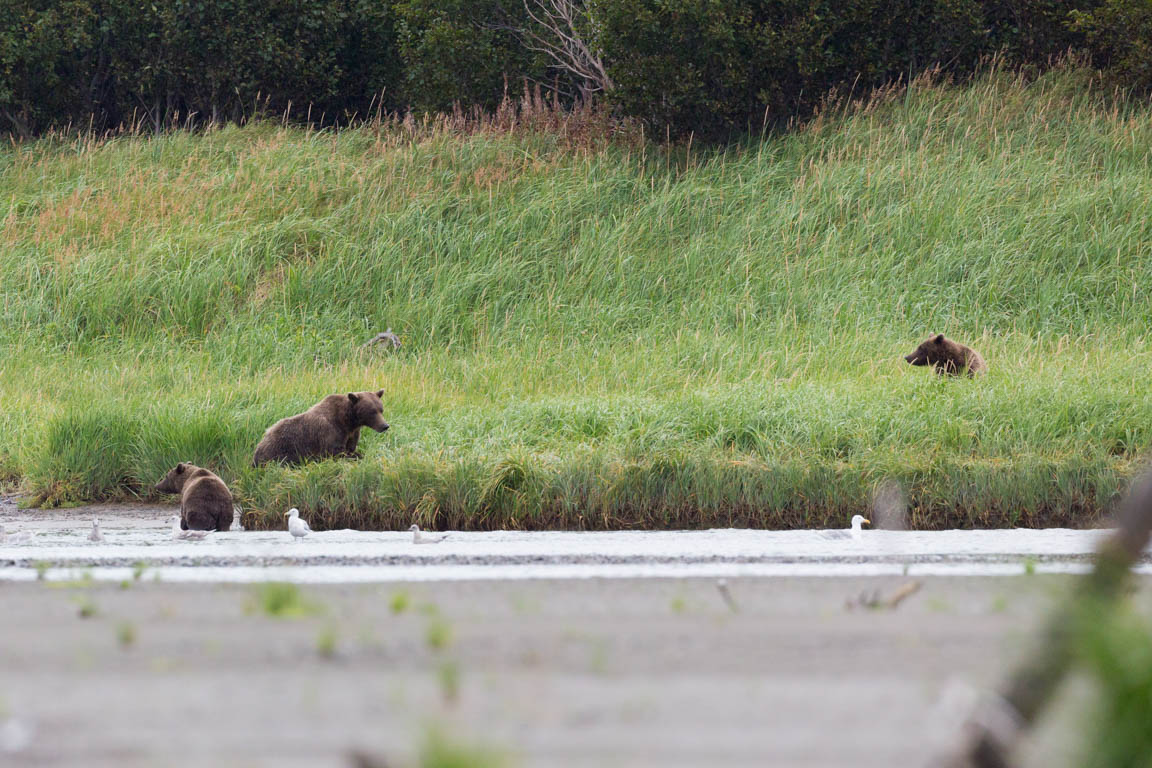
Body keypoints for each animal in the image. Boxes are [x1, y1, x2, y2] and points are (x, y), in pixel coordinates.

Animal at [253, 386, 391, 465]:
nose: (385, 426)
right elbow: (335, 452)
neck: (348, 421)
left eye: (381, 409)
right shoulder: (329, 432)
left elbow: (350, 448)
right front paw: (358, 456)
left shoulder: (352, 433)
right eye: (372, 412)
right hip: (280, 448)